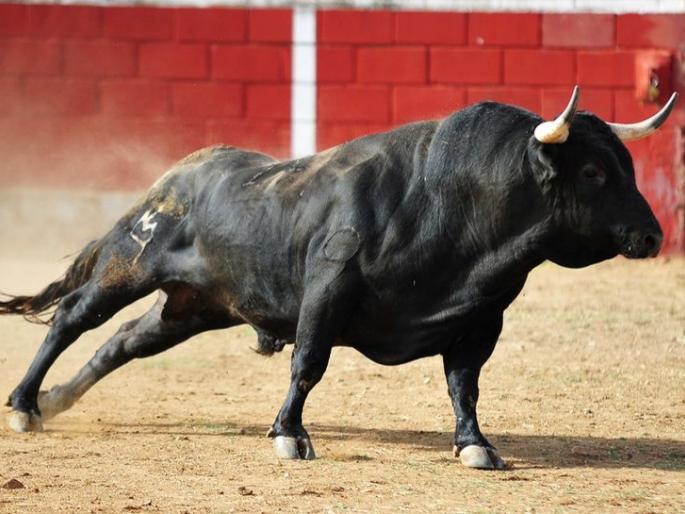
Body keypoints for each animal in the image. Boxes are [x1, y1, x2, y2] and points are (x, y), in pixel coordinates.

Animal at [1, 87, 676, 469]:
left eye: (626, 164)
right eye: (592, 171)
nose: (652, 236)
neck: (449, 201)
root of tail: (177, 175)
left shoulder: (479, 318)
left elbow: (465, 387)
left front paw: (474, 446)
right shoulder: (328, 289)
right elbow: (309, 363)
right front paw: (289, 436)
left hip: (193, 306)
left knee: (121, 343)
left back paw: (56, 401)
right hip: (130, 263)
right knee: (73, 319)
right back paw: (26, 405)